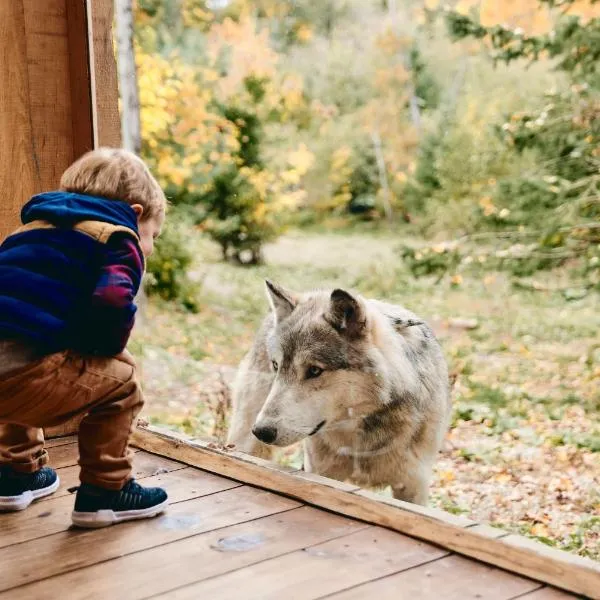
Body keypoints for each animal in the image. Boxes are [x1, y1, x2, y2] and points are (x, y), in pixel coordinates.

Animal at [227, 278, 452, 504]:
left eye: (314, 370)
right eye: (276, 366)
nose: (262, 431)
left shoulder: (413, 487)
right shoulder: (320, 472)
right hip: (246, 442)